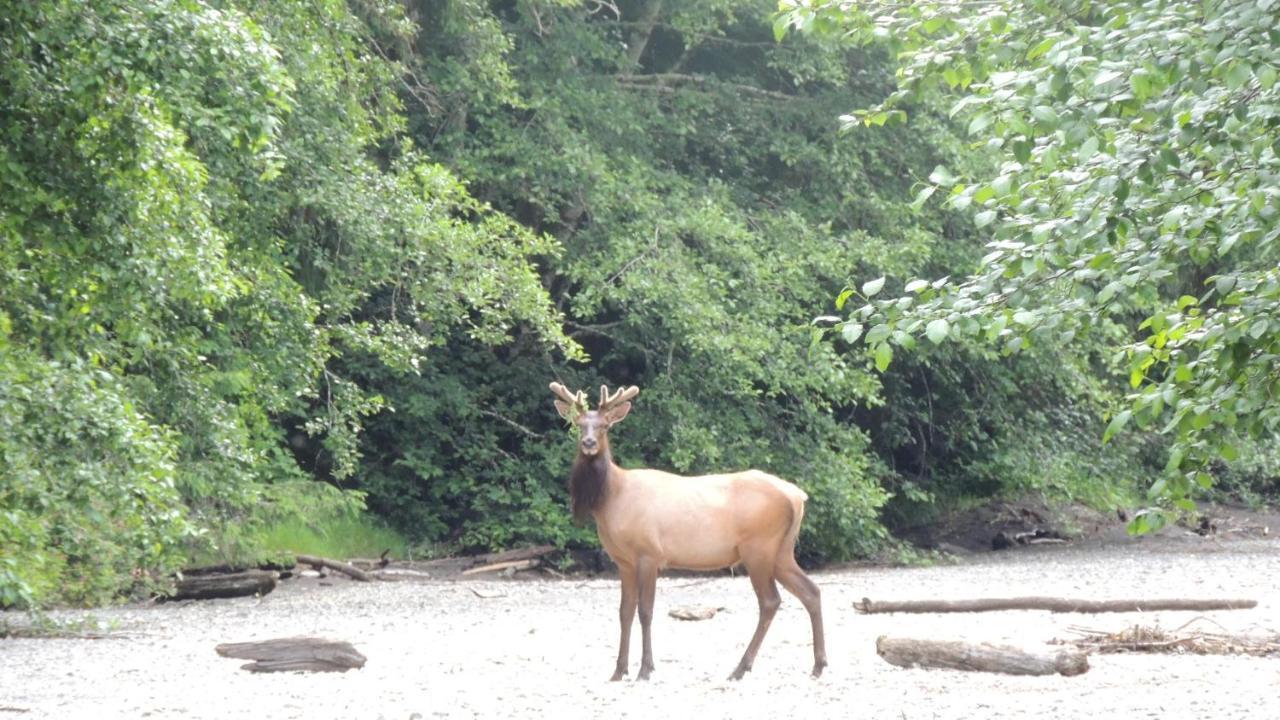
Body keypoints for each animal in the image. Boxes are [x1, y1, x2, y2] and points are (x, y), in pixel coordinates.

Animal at [550, 381, 829, 676]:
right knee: (811, 591)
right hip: (782, 551)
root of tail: (797, 496)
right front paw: (619, 671)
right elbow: (624, 612)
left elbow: (645, 611)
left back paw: (741, 668)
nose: (589, 443)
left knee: (770, 601)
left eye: (604, 425)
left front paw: (645, 669)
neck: (612, 500)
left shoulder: (649, 553)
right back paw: (818, 664)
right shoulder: (622, 561)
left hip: (759, 547)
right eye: (579, 424)